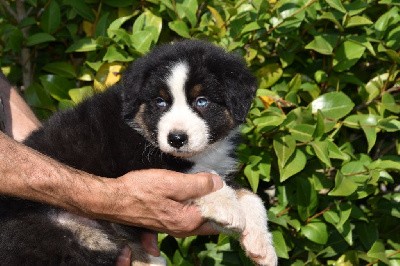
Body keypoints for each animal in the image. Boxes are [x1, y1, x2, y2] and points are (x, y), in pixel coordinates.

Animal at [0, 40, 276, 266]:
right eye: (160, 102)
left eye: (202, 101)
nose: (176, 139)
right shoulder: (141, 158)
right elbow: (201, 176)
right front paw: (227, 207)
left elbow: (251, 197)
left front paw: (261, 245)